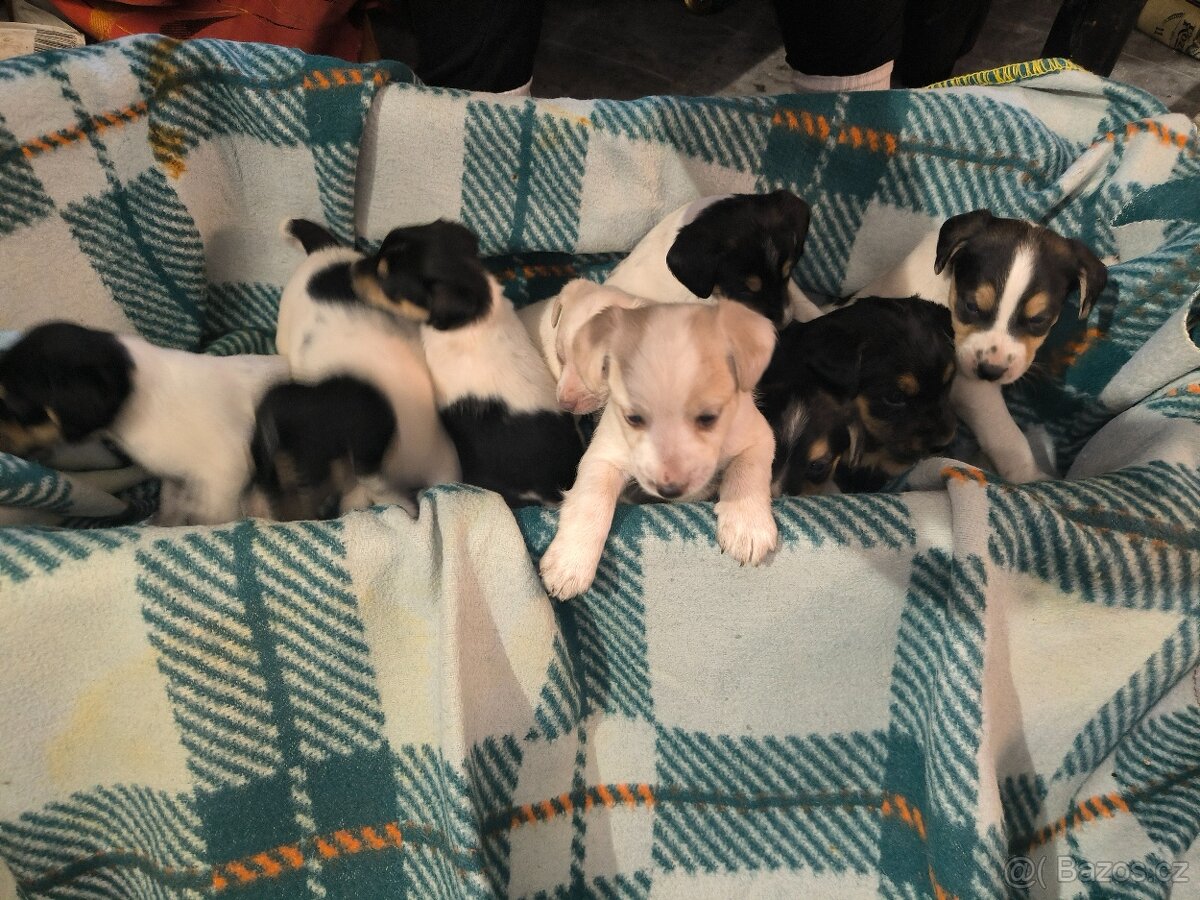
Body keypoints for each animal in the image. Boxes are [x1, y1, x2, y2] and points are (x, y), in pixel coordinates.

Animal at [0, 321, 288, 525]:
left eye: (14, 405)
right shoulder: (176, 475)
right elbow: (171, 503)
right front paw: (165, 523)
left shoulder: (226, 467)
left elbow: (214, 514)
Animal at [539, 300, 778, 600]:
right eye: (633, 418)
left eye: (709, 418)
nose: (669, 490)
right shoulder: (603, 455)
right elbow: (592, 502)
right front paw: (571, 563)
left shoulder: (759, 436)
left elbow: (748, 473)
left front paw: (747, 526)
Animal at [852, 210, 1107, 482]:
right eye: (971, 306)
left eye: (1038, 319)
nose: (990, 372)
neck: (948, 285)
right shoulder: (970, 385)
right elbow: (1005, 434)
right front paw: (1030, 477)